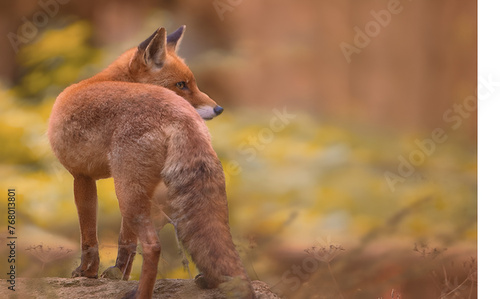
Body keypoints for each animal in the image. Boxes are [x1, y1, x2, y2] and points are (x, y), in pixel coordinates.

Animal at [47, 26, 254, 299]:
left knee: (153, 246)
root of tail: (180, 115)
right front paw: (118, 275)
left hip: (127, 193)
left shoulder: (81, 176)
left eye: (192, 84)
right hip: (155, 192)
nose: (219, 109)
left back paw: (142, 293)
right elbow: (126, 242)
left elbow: (89, 237)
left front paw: (87, 273)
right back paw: (210, 281)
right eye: (181, 84)